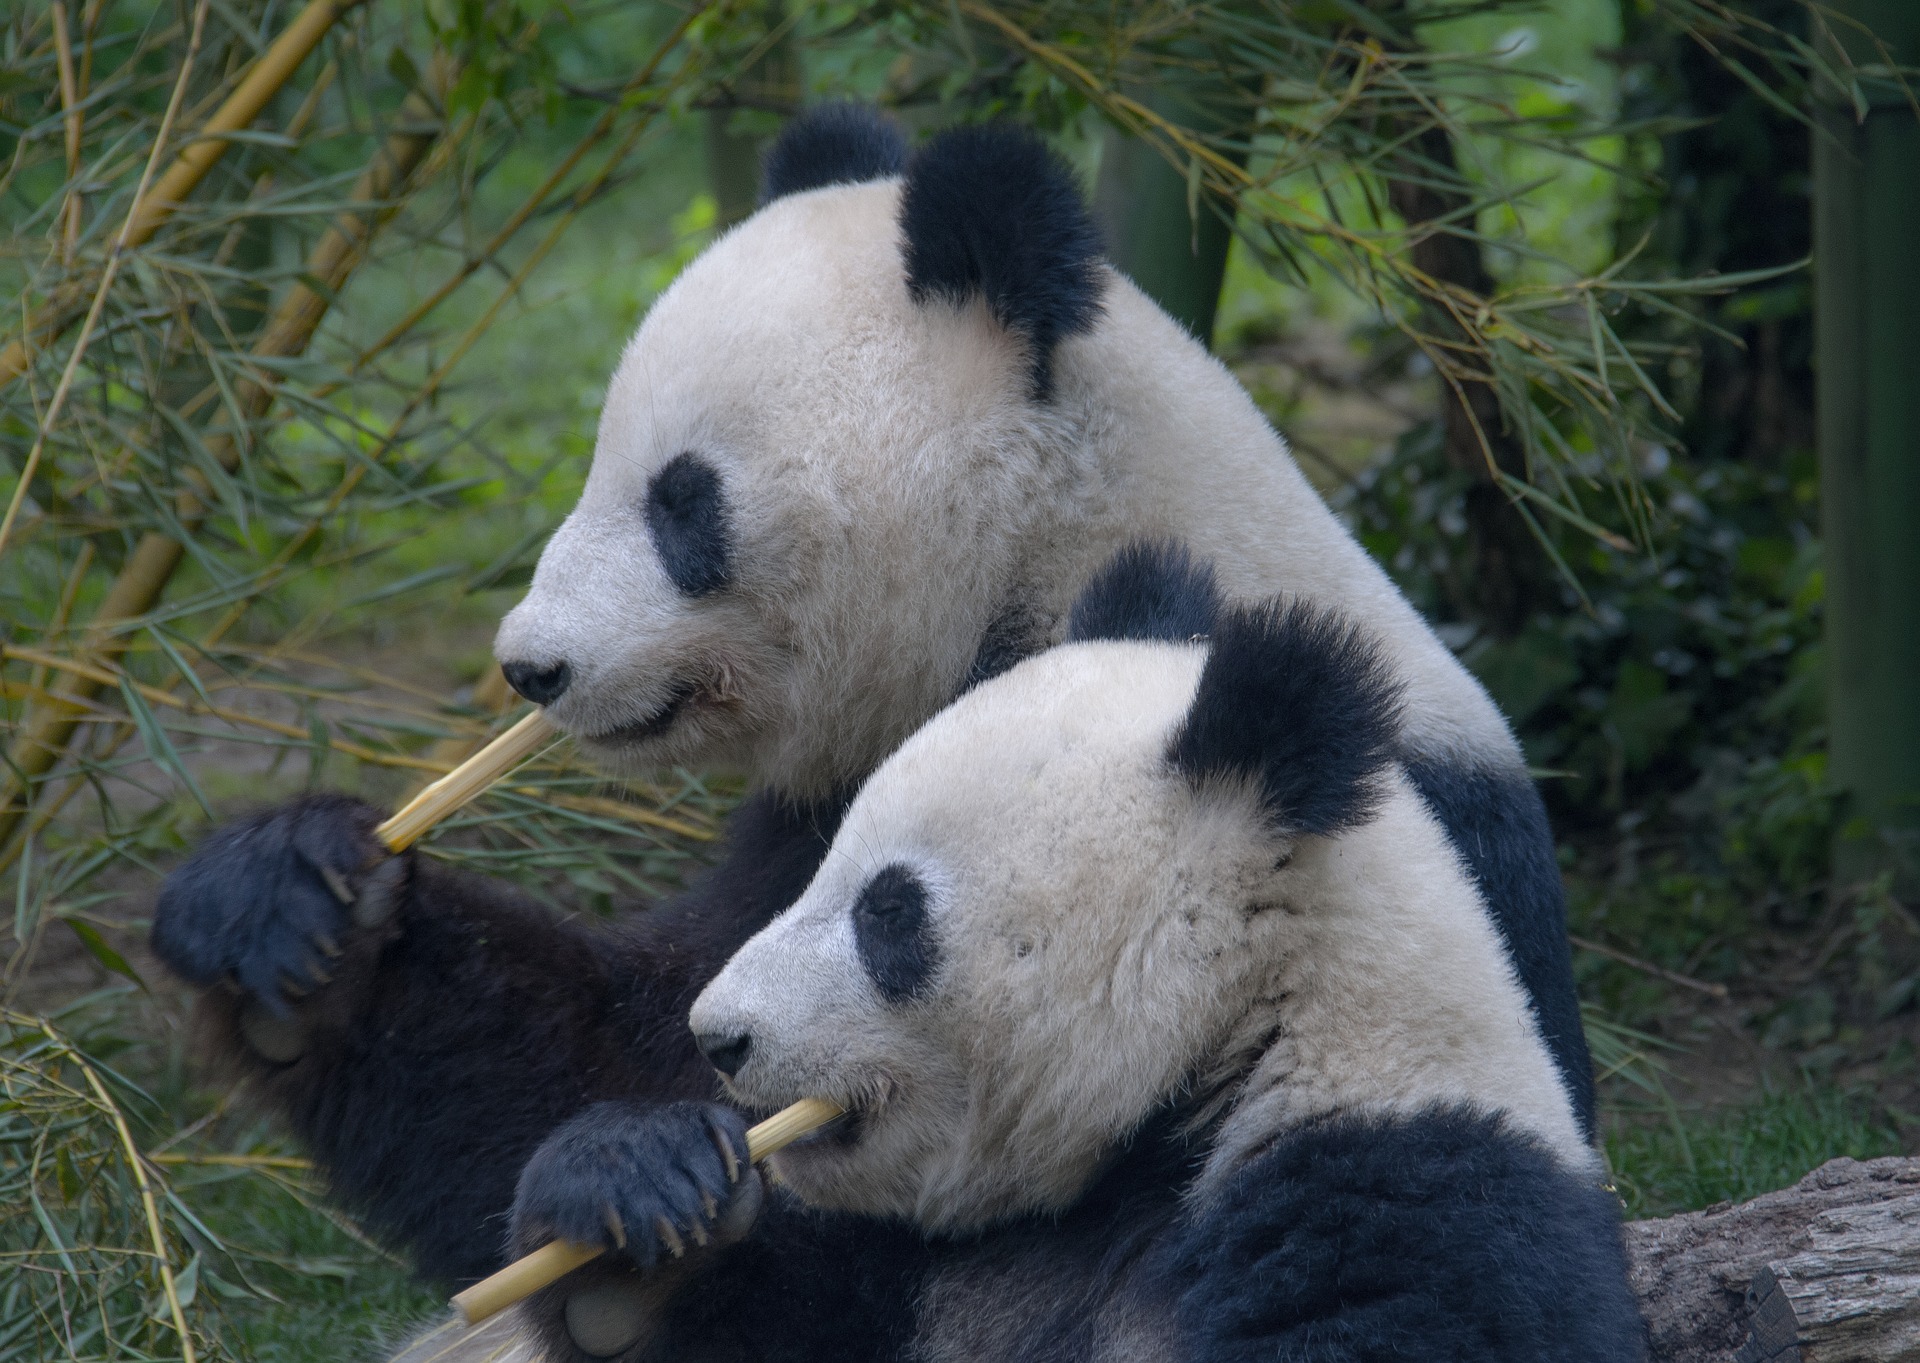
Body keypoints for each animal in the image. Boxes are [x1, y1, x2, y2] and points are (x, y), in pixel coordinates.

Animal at [145, 106, 1589, 1290]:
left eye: (683, 498)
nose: (531, 666)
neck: (1052, 549)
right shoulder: (818, 816)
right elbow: (613, 1049)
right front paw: (290, 905)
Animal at [503, 545, 1643, 1363]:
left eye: (888, 912)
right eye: (823, 864)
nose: (720, 1036)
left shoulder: (1409, 1204)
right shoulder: (923, 1268)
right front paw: (634, 1204)